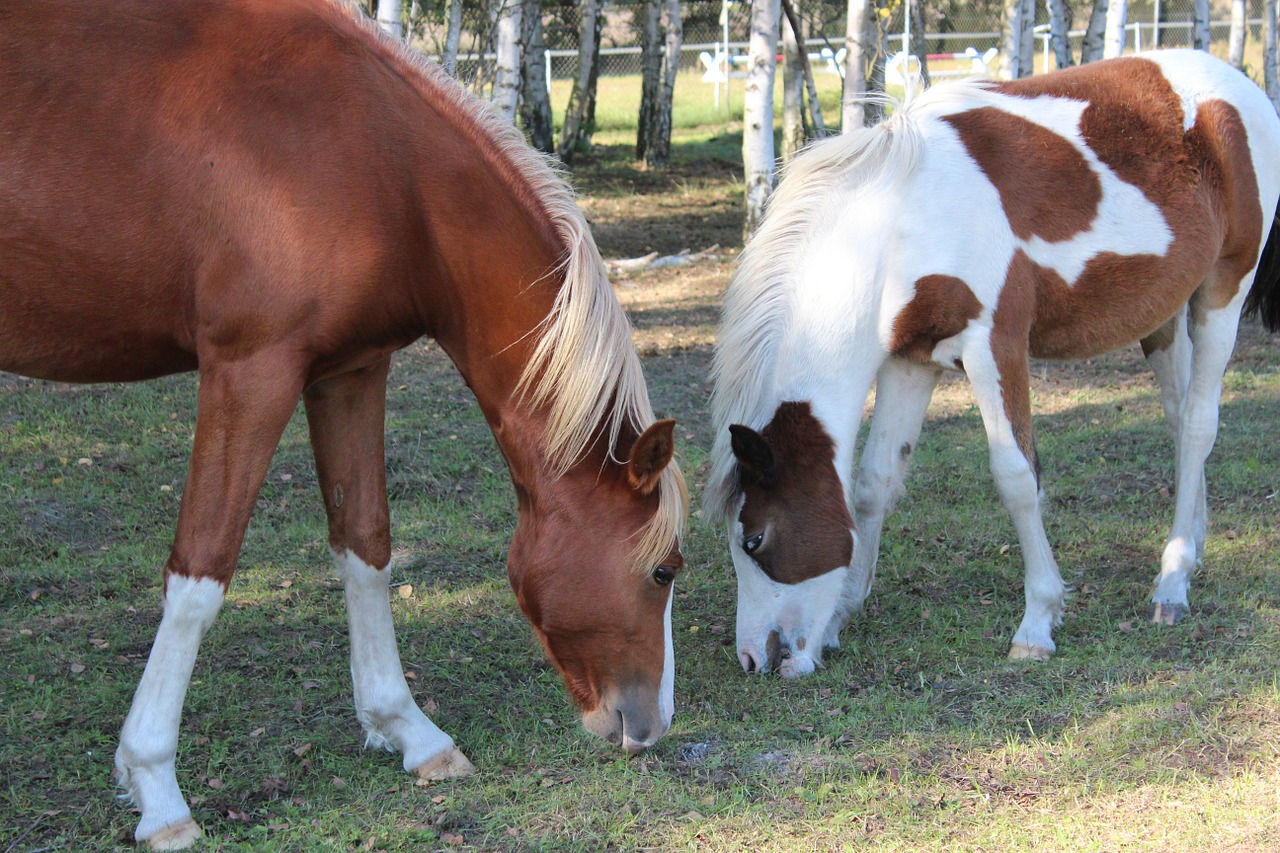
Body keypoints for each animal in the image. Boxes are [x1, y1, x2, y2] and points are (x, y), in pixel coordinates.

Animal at [0, 0, 686, 845]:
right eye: (663, 571)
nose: (653, 725)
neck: (379, 165)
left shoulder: (350, 372)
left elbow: (367, 543)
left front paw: (409, 729)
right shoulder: (251, 371)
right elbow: (200, 576)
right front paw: (155, 785)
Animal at [706, 49, 1280, 676]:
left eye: (754, 539)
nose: (756, 658)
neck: (898, 226)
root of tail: (1240, 88)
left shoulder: (994, 348)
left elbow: (1016, 477)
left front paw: (1038, 622)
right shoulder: (911, 362)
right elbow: (874, 481)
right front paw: (840, 616)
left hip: (1223, 292)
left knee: (1199, 425)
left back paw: (1172, 581)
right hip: (1165, 315)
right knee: (1179, 422)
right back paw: (1193, 547)